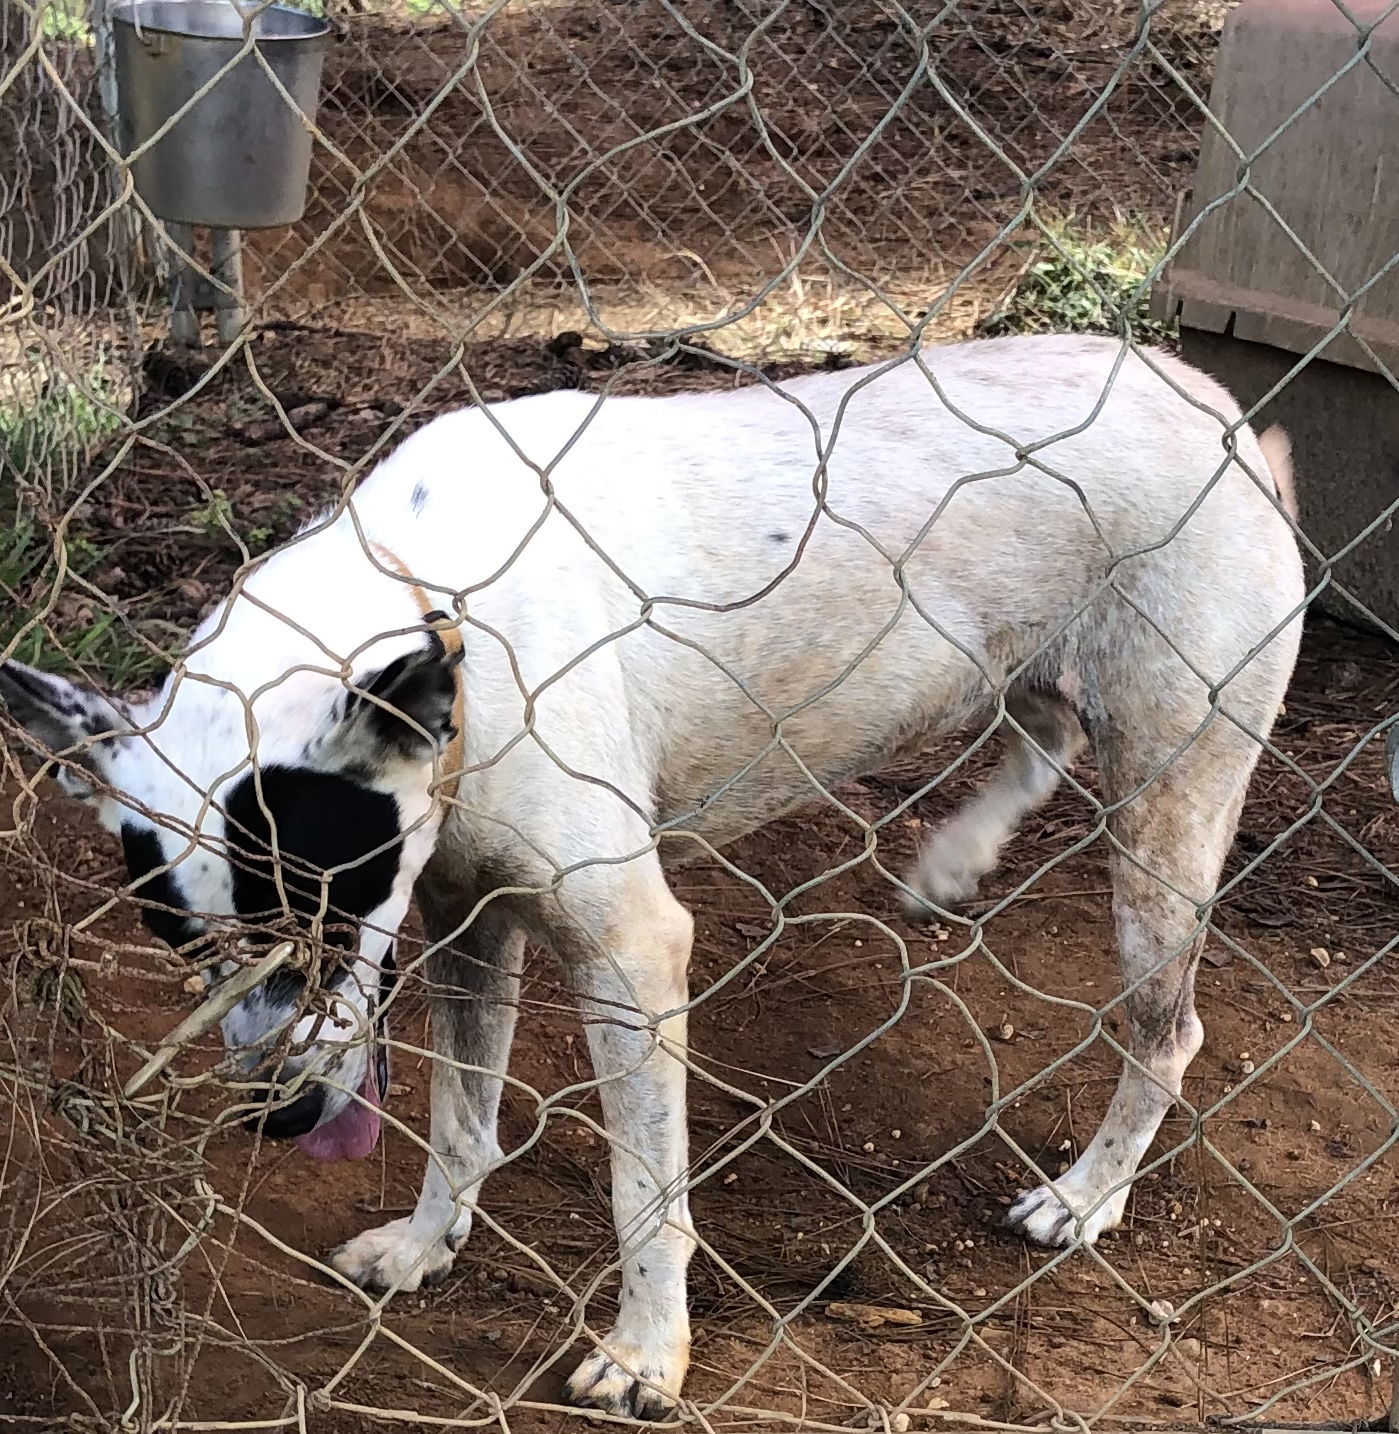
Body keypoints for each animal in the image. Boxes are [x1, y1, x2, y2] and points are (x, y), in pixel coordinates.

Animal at [5, 332, 1307, 1411]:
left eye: (328, 920)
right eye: (184, 949)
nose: (281, 1119)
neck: (447, 613)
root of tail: (1220, 411)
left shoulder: (628, 948)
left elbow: (645, 1192)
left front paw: (645, 1355)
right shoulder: (466, 919)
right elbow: (459, 1120)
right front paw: (427, 1246)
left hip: (1165, 816)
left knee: (1168, 1029)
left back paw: (1084, 1195)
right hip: (1024, 674)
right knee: (1041, 729)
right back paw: (952, 857)